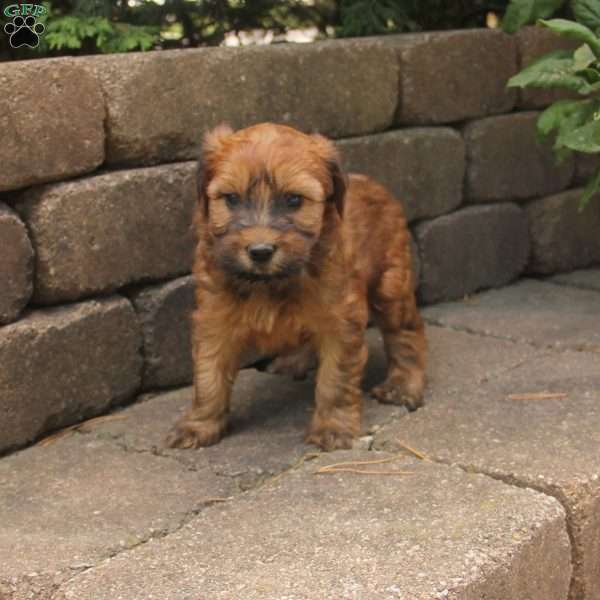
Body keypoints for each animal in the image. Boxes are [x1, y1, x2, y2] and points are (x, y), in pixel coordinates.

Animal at [165, 123, 426, 450]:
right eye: (232, 198)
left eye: (293, 200)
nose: (260, 251)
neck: (270, 283)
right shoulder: (214, 320)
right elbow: (208, 377)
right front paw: (199, 425)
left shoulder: (341, 322)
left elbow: (335, 379)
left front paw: (332, 427)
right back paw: (295, 362)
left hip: (390, 285)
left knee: (406, 333)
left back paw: (403, 385)